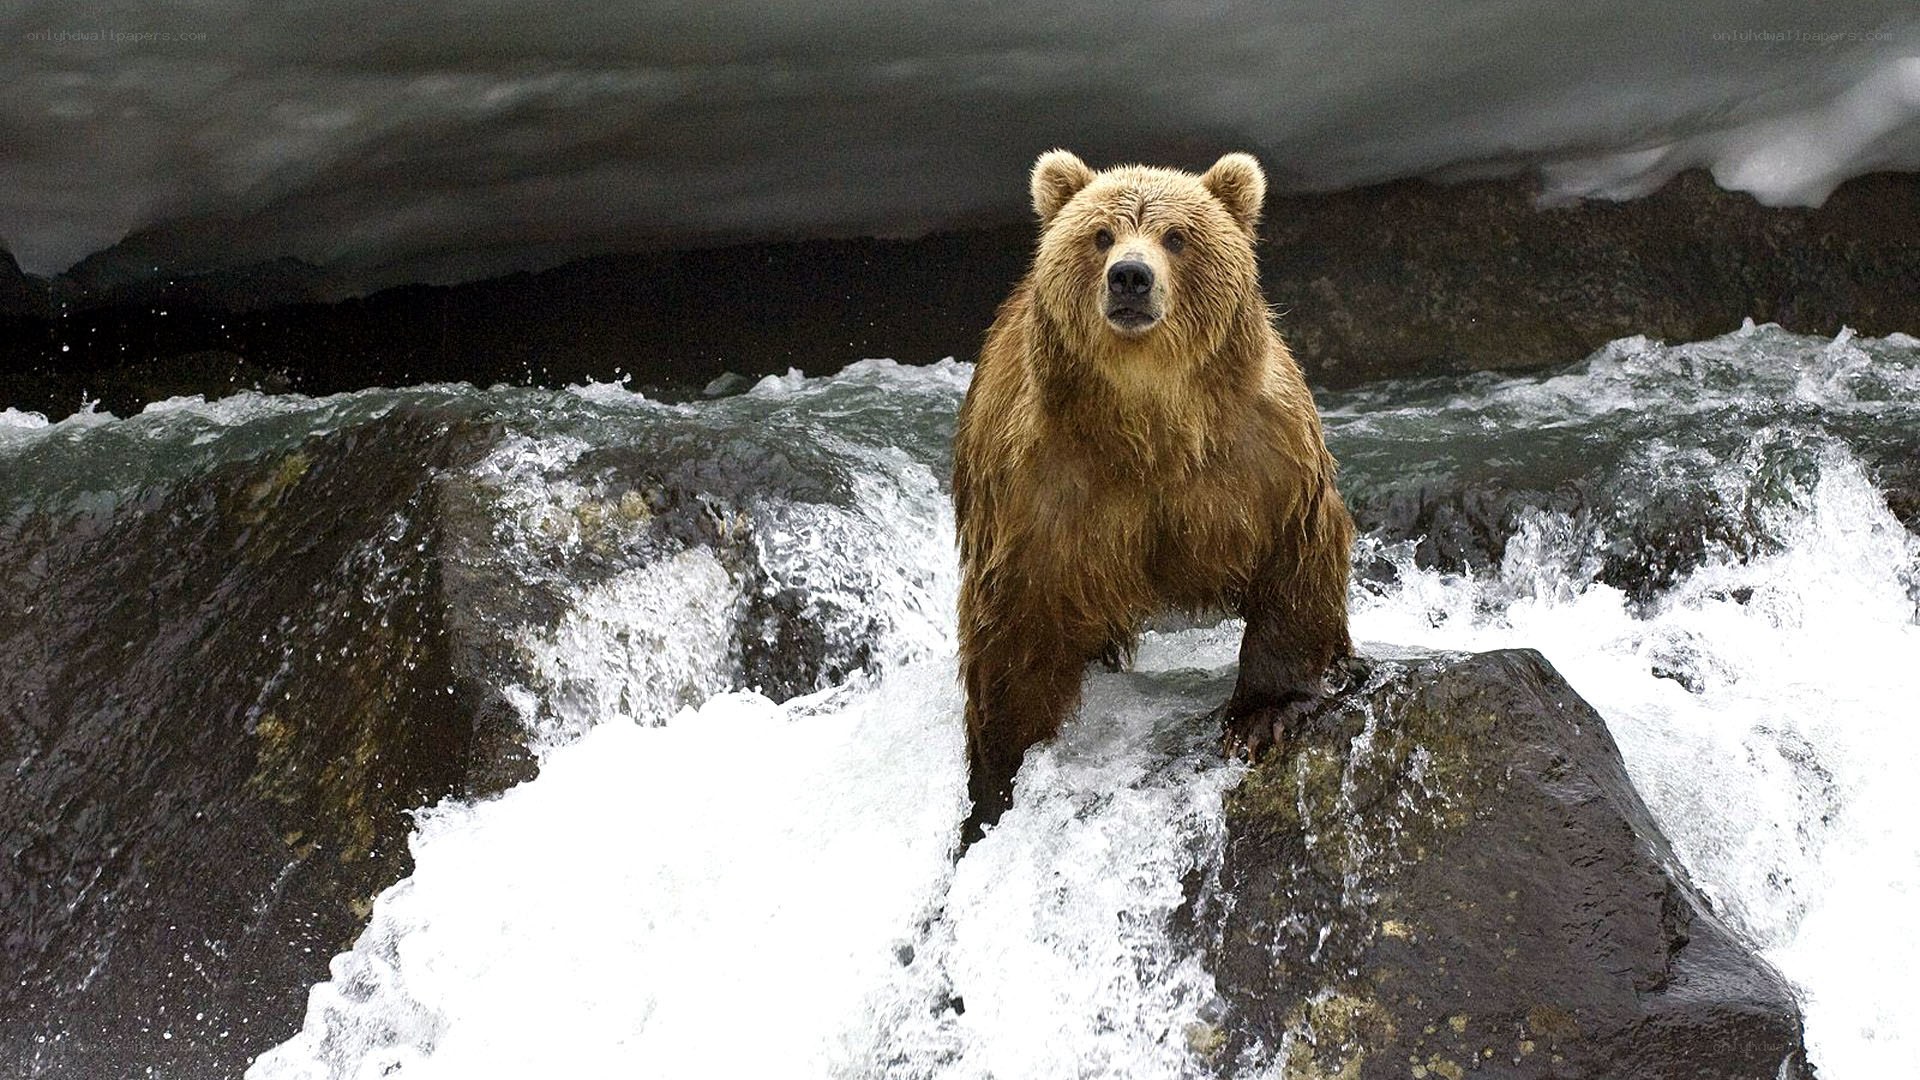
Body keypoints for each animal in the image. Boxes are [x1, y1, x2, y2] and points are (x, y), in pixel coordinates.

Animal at [953, 149, 1354, 842]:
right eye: (1101, 234)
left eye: (1176, 236)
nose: (1131, 278)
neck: (1149, 423)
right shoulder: (1040, 487)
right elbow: (1013, 628)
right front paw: (996, 780)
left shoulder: (1260, 453)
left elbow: (1295, 556)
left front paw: (1262, 717)